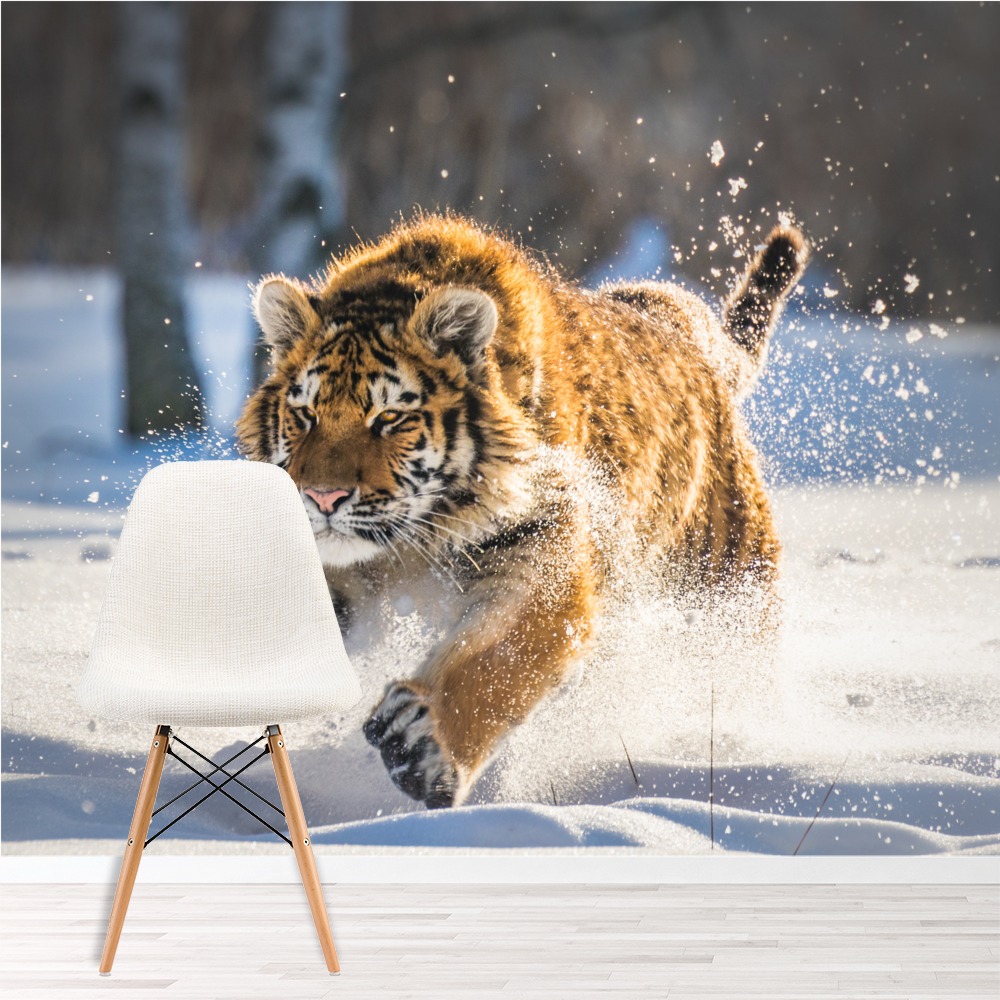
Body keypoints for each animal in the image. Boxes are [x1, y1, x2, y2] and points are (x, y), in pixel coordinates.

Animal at [236, 213, 807, 808]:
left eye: (390, 418)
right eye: (305, 414)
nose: (322, 498)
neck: (411, 541)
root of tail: (690, 332)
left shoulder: (542, 558)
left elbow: (496, 660)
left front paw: (421, 744)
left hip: (726, 594)